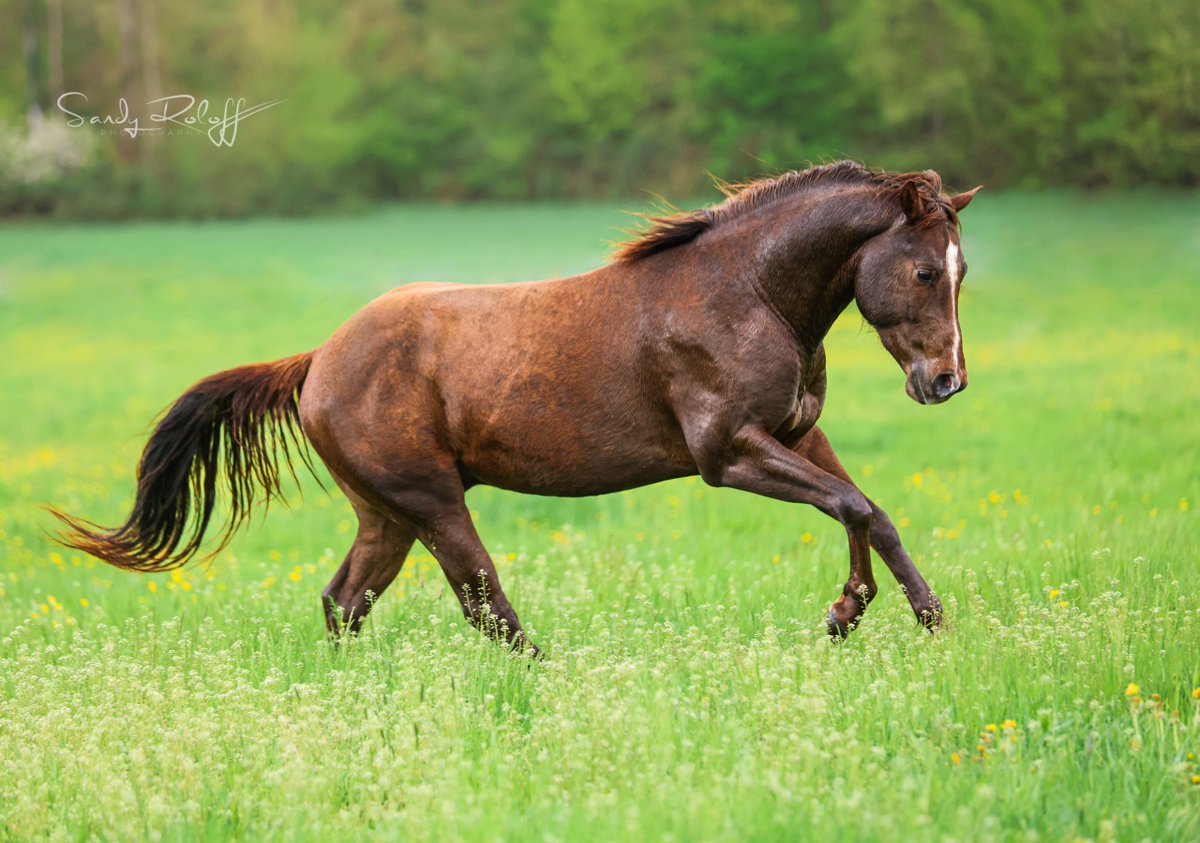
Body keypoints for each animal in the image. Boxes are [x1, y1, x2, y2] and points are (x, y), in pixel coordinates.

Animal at [51, 161, 981, 653]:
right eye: (923, 269)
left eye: (962, 270)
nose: (945, 382)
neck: (746, 293)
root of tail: (317, 361)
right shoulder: (728, 452)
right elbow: (851, 505)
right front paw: (849, 612)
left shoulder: (797, 433)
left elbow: (870, 509)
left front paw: (917, 615)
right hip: (431, 501)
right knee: (483, 602)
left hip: (386, 515)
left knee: (346, 601)